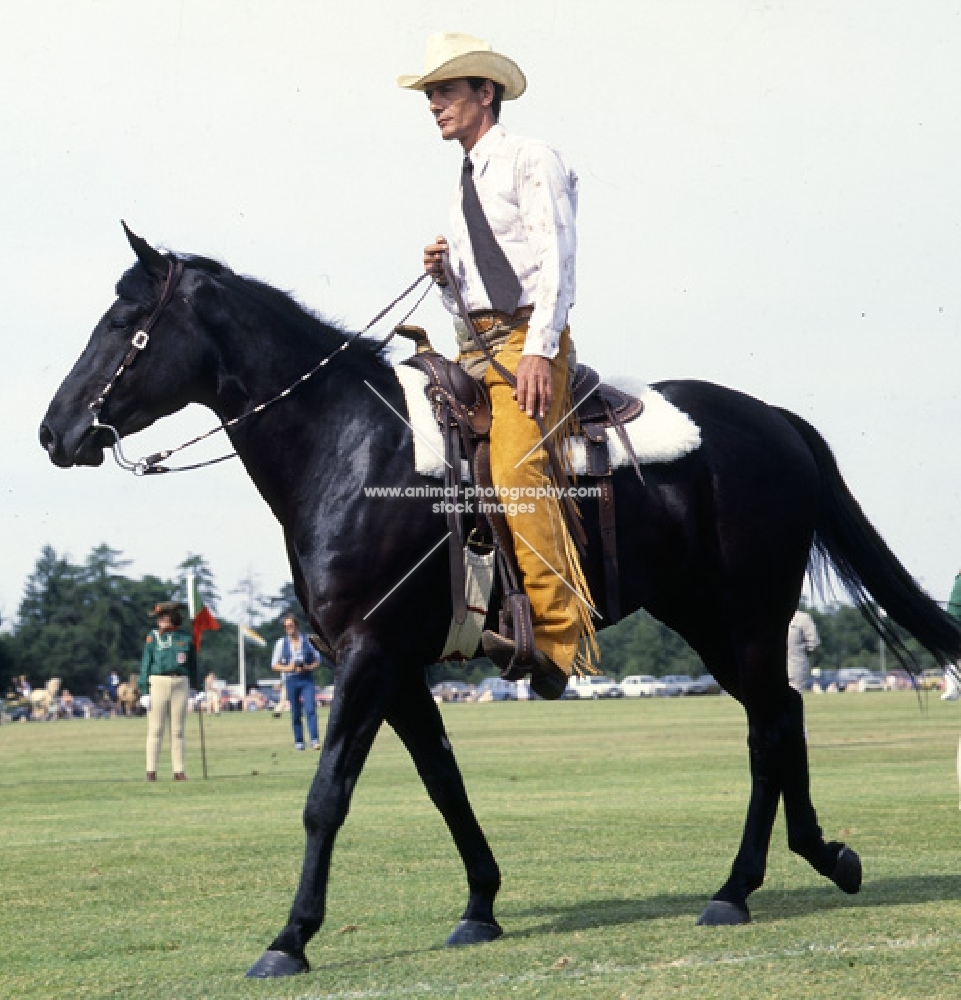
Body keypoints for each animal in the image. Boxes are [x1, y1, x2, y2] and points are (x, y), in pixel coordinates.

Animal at [37, 229, 960, 976]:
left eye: (123, 322)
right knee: (782, 715)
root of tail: (771, 418)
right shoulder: (392, 666)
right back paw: (816, 858)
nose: (54, 431)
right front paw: (480, 904)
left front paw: (289, 938)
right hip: (706, 621)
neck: (349, 447)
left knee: (769, 727)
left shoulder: (369, 656)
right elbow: (444, 782)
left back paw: (738, 887)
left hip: (747, 615)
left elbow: (326, 795)